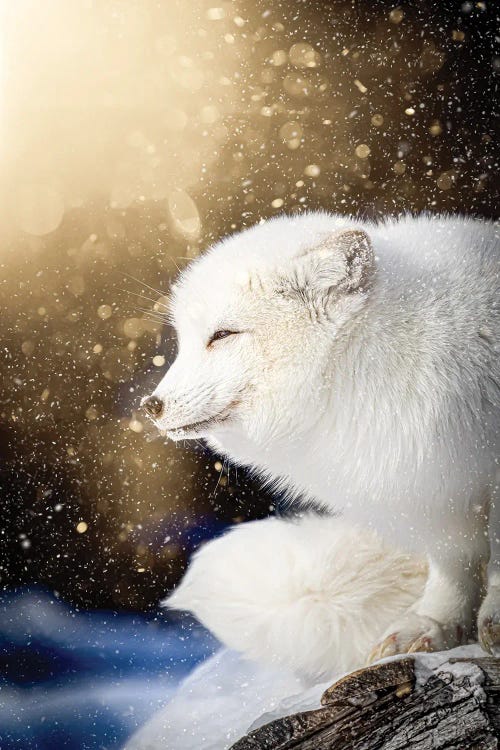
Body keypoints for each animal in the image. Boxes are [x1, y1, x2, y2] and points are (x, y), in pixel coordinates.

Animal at [144, 214, 500, 668]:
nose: (150, 406)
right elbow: (452, 567)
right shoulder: (436, 495)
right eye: (185, 341)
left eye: (223, 335)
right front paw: (434, 624)